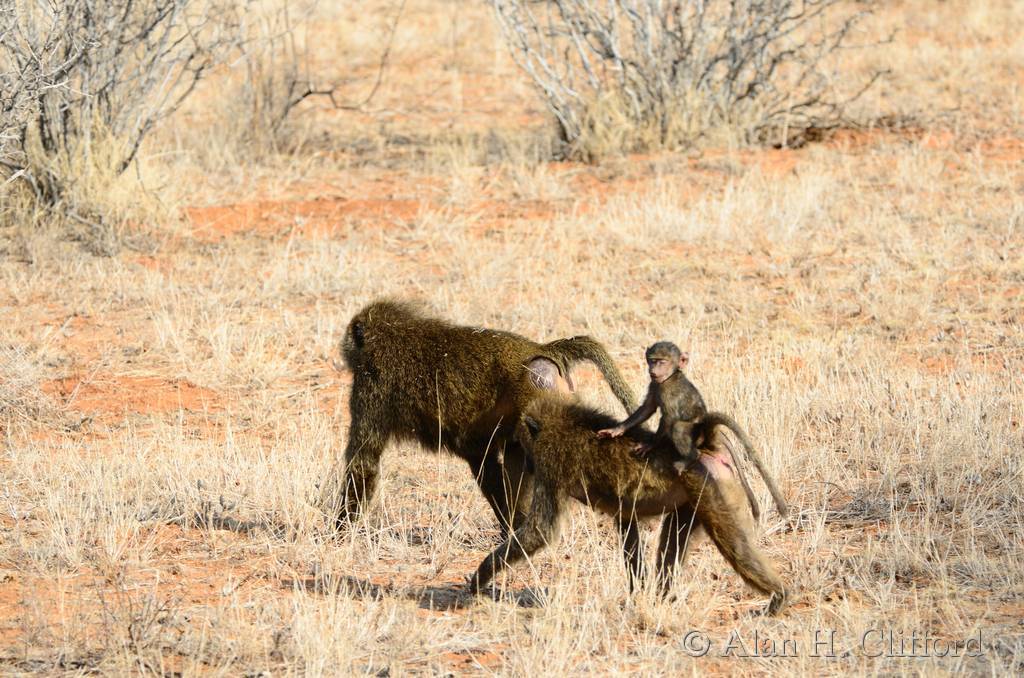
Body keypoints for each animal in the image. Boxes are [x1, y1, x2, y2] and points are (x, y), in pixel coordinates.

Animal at [332, 299, 638, 536]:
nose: (343, 347)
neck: (391, 332)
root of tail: (540, 350)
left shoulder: (373, 387)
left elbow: (363, 462)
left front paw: (338, 531)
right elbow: (487, 465)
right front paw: (510, 527)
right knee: (519, 457)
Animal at [467, 393, 788, 616]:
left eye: (523, 444)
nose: (526, 464)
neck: (562, 421)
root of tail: (703, 446)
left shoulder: (551, 462)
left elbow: (540, 531)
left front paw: (479, 579)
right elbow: (628, 528)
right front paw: (637, 596)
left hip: (710, 489)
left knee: (735, 545)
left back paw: (781, 595)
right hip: (695, 496)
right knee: (674, 538)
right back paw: (662, 598)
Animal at [598, 341, 788, 521]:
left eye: (662, 361)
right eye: (652, 360)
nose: (653, 370)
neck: (671, 376)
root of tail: (705, 429)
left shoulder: (667, 392)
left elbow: (668, 419)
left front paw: (650, 445)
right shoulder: (655, 384)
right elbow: (647, 408)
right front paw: (616, 430)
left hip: (696, 436)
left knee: (679, 428)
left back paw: (689, 457)